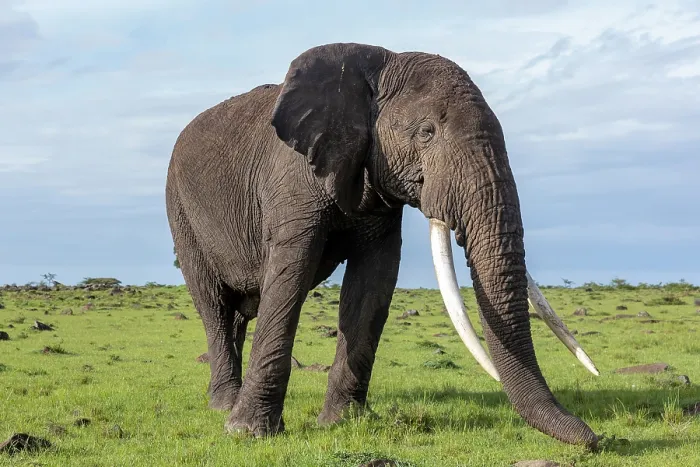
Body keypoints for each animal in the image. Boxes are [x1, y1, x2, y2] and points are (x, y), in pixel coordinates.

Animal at [165, 42, 600, 449]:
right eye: (426, 132)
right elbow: (290, 275)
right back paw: (224, 404)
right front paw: (247, 432)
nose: (597, 440)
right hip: (180, 211)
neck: (376, 65)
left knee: (240, 312)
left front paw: (343, 422)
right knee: (213, 305)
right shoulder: (292, 182)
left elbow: (373, 281)